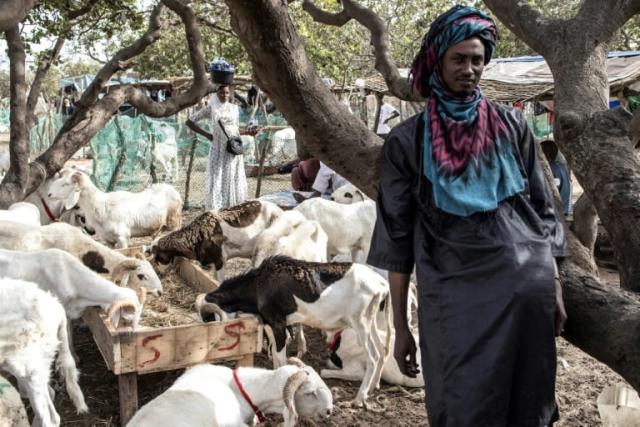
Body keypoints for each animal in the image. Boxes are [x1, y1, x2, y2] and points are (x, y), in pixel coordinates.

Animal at [198, 256, 392, 406]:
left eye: (209, 318)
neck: (259, 285)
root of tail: (381, 284)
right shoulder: (271, 325)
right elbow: (276, 358)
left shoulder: (278, 325)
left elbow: (281, 358)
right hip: (371, 323)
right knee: (382, 350)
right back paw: (373, 387)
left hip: (360, 324)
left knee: (374, 356)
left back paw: (359, 399)